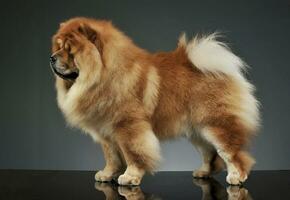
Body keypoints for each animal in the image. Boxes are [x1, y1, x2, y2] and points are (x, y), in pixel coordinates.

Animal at [50, 17, 260, 186]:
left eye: (70, 50)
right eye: (58, 47)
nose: (52, 58)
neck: (104, 76)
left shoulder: (129, 127)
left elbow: (133, 154)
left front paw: (130, 177)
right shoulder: (106, 132)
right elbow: (112, 157)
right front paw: (107, 174)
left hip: (215, 125)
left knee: (233, 153)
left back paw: (237, 177)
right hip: (198, 131)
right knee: (210, 154)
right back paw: (203, 172)